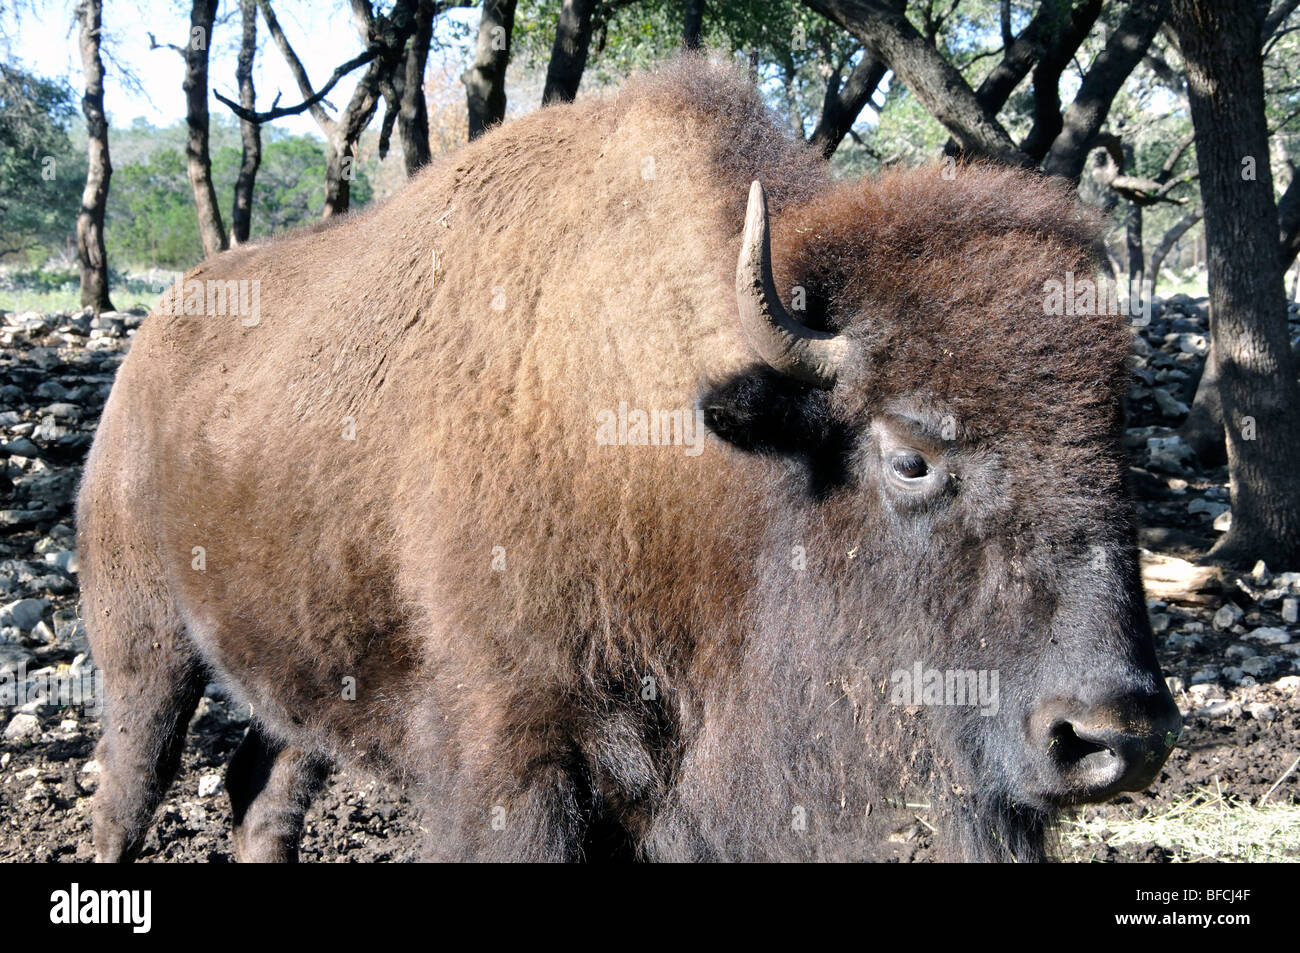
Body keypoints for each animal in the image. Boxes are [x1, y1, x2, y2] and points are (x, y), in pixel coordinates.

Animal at [78, 59, 1180, 863]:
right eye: (909, 456)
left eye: (1113, 433)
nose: (1113, 737)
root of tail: (146, 350)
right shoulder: (520, 756)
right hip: (145, 649)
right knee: (127, 793)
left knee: (262, 795)